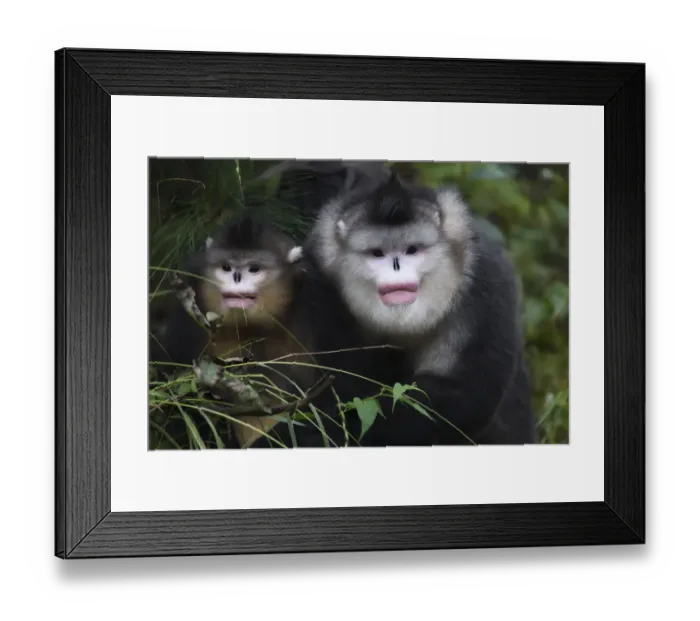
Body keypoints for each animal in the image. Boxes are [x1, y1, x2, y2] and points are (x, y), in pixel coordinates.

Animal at [278, 161, 537, 446]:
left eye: (412, 250)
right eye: (377, 253)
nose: (396, 266)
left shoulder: (487, 283)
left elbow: (465, 395)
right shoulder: (318, 278)